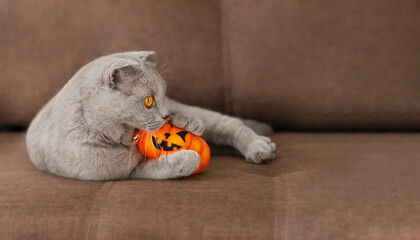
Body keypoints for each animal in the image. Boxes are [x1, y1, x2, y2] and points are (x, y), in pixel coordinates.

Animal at [25, 51, 276, 180]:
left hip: (218, 122)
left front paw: (188, 122)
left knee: (233, 125)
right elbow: (162, 168)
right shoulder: (128, 172)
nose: (165, 115)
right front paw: (190, 158)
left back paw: (261, 148)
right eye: (148, 101)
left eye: (163, 96)